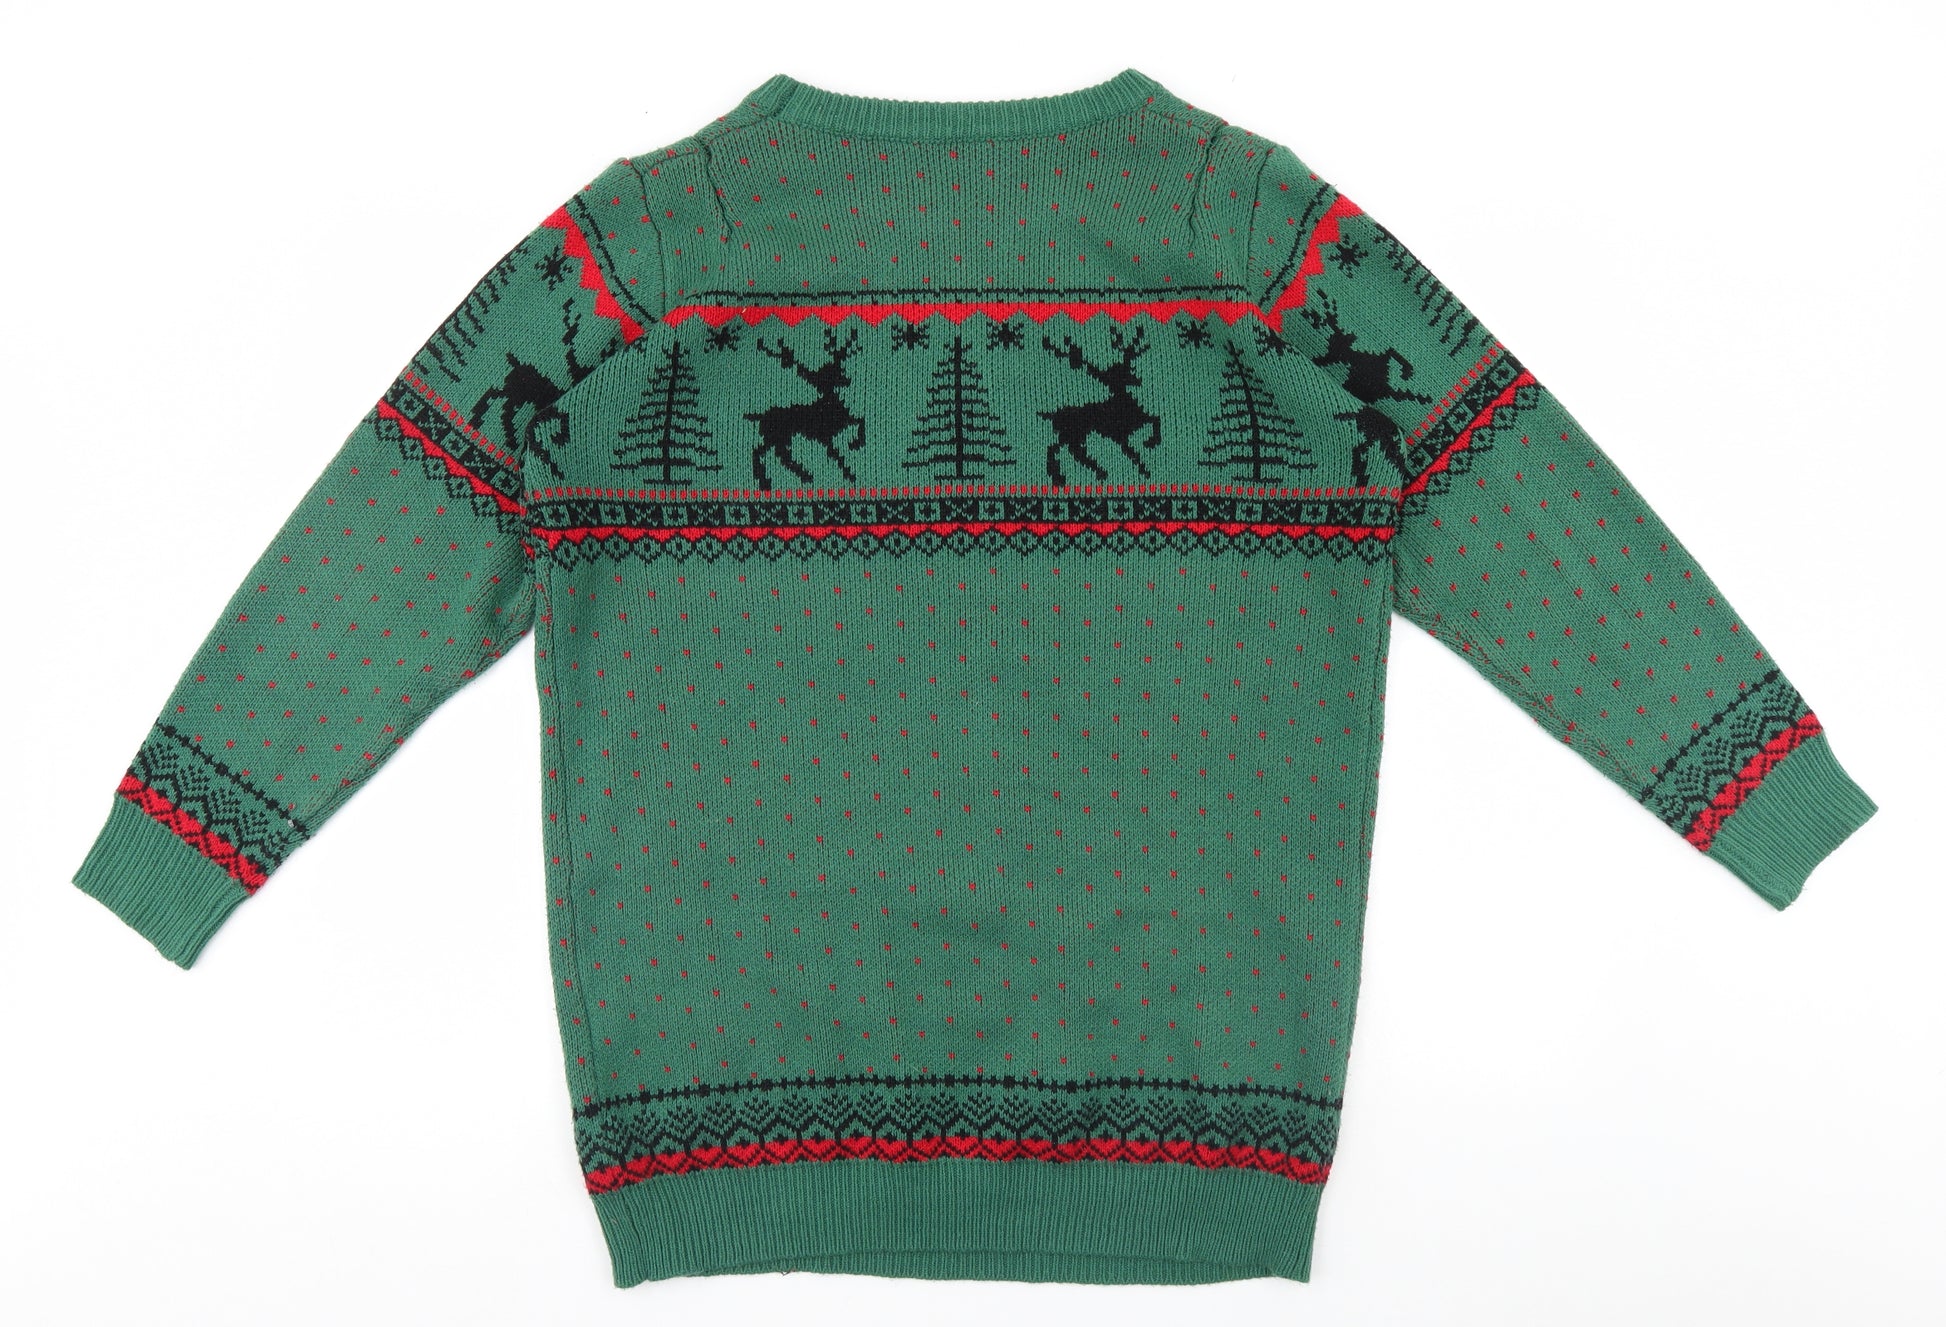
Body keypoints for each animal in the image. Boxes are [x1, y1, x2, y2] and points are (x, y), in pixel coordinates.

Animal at [743, 326, 866, 489]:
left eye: (840, 369)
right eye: (832, 372)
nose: (848, 379)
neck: (830, 404)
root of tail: (762, 415)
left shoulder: (845, 421)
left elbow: (860, 421)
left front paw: (855, 443)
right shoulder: (825, 437)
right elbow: (836, 454)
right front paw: (849, 473)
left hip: (781, 438)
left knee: (780, 455)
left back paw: (802, 475)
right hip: (774, 436)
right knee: (761, 452)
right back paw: (768, 481)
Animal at [1037, 324, 1162, 485]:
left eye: (1129, 368)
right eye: (1118, 374)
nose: (1138, 380)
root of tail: (1054, 413)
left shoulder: (1140, 420)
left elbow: (1155, 419)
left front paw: (1150, 442)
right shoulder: (1120, 436)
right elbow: (1132, 451)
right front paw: (1144, 466)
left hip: (1073, 435)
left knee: (1069, 451)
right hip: (1072, 434)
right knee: (1063, 450)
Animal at [1299, 290, 1435, 487]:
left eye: (1343, 339)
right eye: (1333, 346)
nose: (1325, 357)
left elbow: (1395, 360)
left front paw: (1409, 376)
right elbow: (1403, 389)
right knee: (1364, 449)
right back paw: (1361, 475)